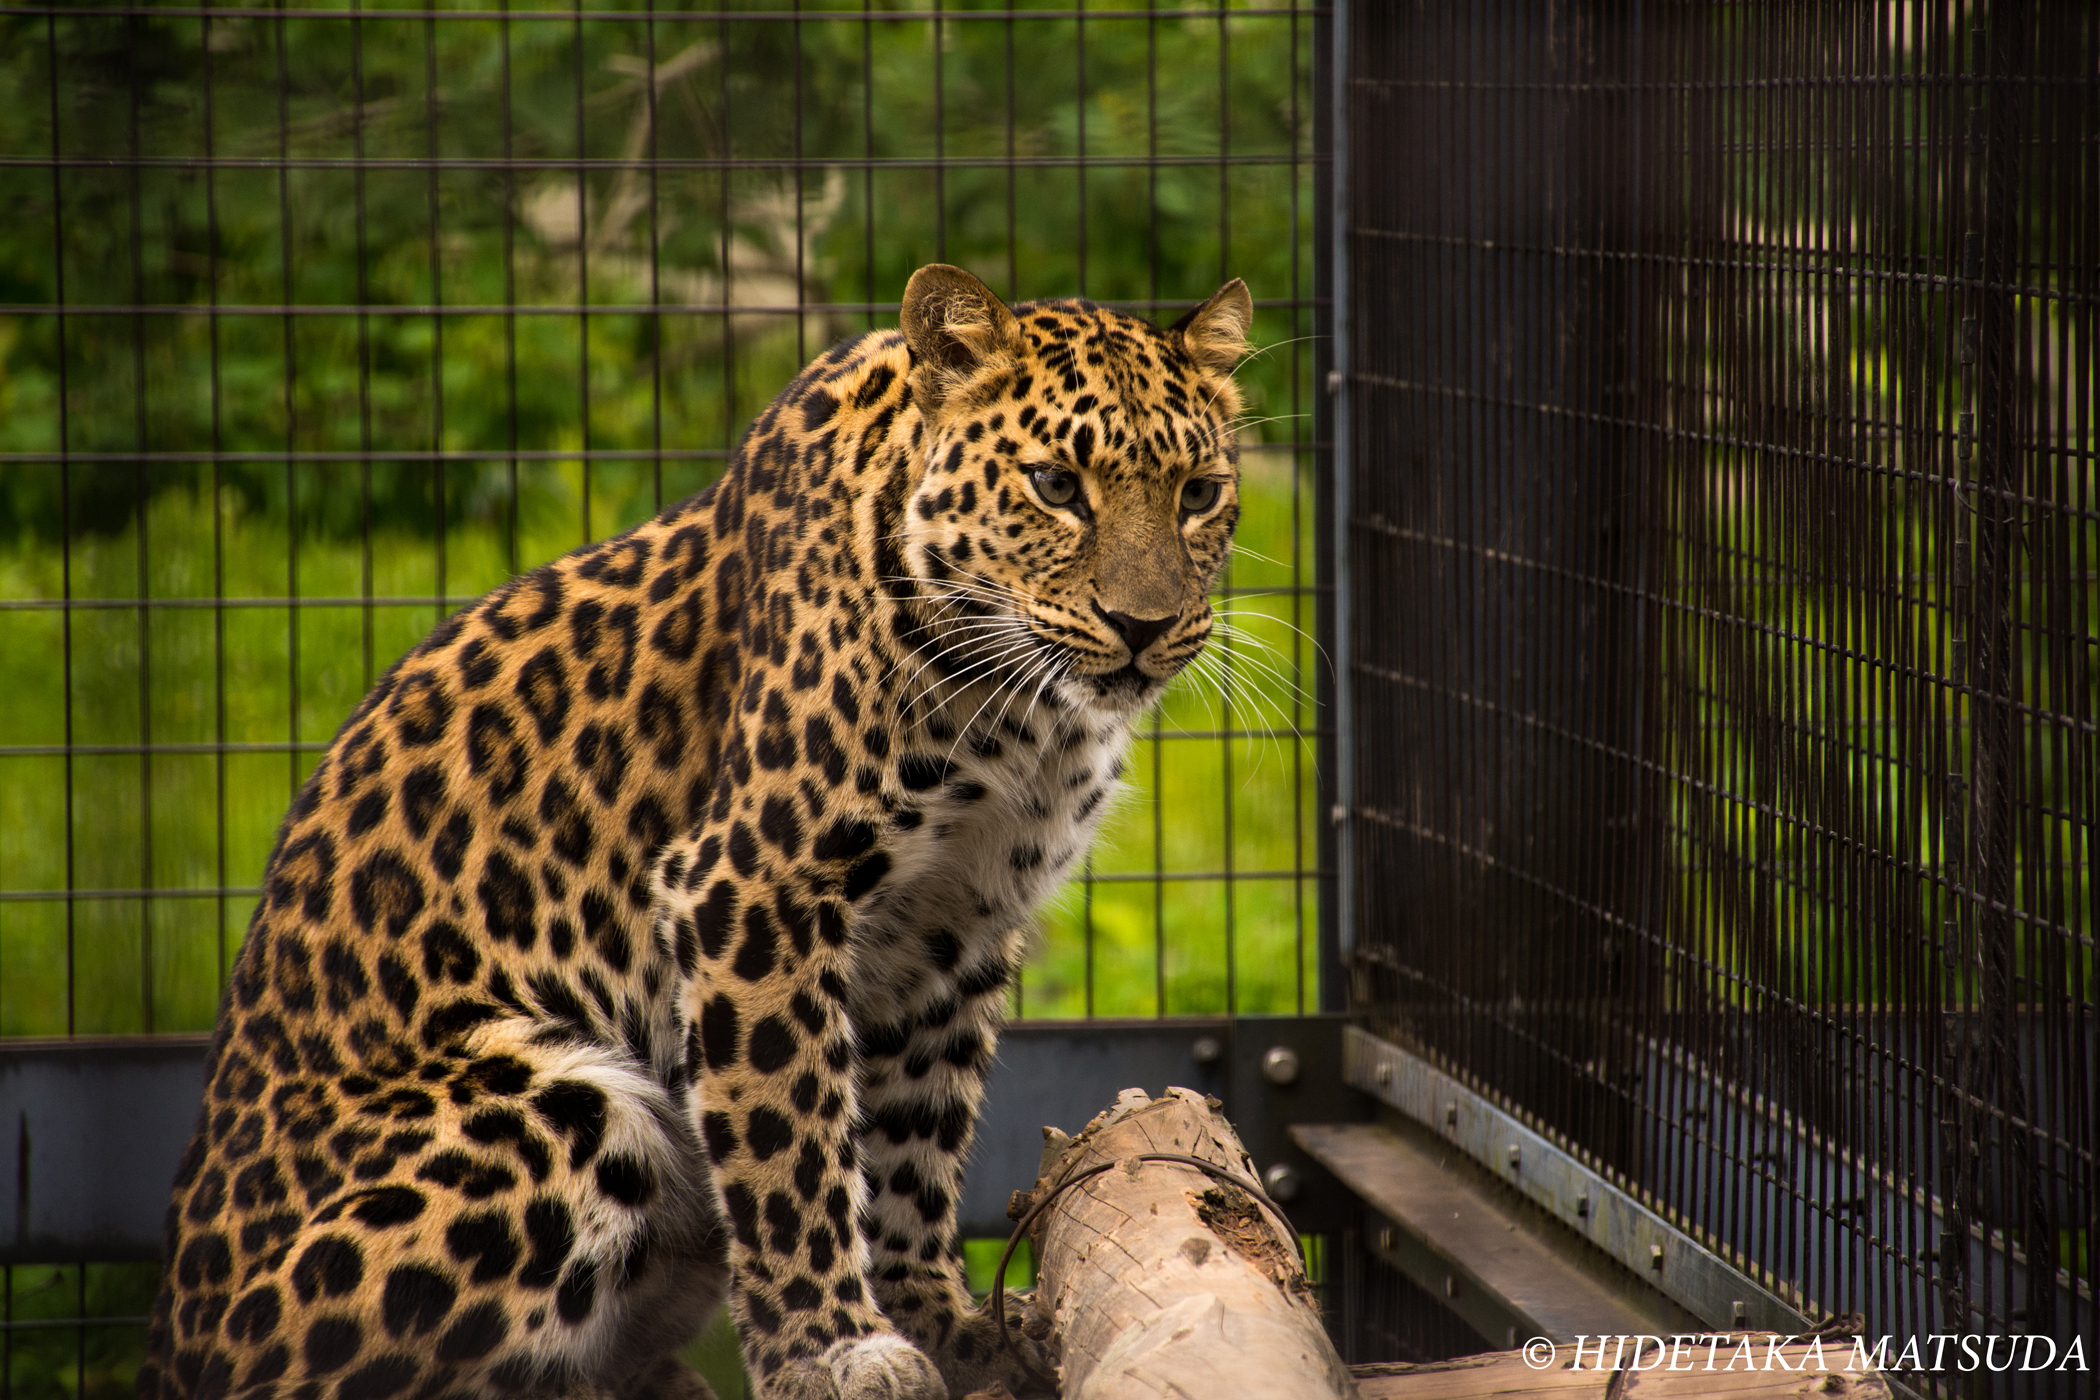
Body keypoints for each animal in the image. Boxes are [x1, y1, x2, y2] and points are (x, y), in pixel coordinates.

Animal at [139, 262, 1251, 1400]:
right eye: (1056, 485)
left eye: (1199, 494)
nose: (1145, 627)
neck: (1020, 715)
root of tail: (176, 1338)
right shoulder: (752, 887)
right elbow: (789, 1137)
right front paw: (832, 1348)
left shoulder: (960, 923)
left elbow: (916, 1141)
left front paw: (939, 1320)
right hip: (556, 1104)